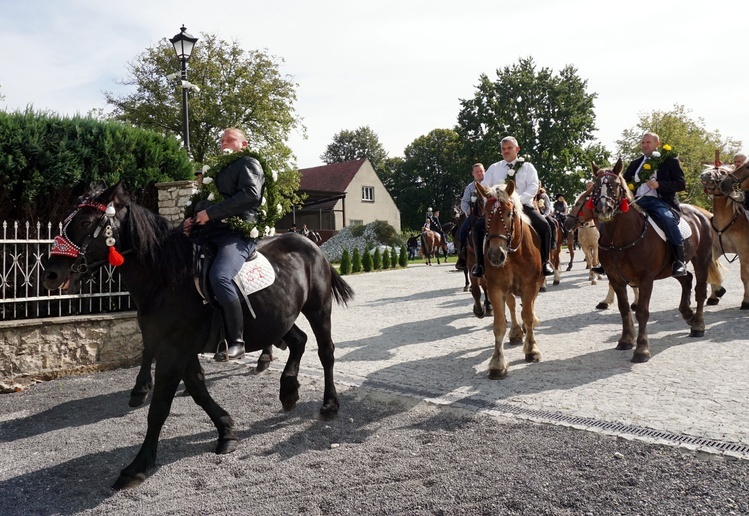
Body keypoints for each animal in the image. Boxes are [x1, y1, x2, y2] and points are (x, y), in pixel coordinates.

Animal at [40, 183, 354, 490]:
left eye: (85, 222)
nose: (50, 274)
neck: (166, 278)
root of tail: (311, 244)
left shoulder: (173, 350)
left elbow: (160, 408)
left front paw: (138, 466)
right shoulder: (178, 349)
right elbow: (198, 391)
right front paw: (226, 431)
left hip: (318, 308)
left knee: (325, 352)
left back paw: (329, 404)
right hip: (277, 317)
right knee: (299, 341)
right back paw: (288, 391)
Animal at [476, 181, 540, 378]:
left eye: (508, 213)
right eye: (486, 214)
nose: (496, 255)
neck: (513, 254)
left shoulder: (531, 285)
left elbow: (527, 315)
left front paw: (532, 349)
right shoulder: (495, 289)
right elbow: (499, 325)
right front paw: (497, 363)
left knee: (528, 307)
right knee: (512, 306)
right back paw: (516, 332)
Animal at [584, 159, 720, 360]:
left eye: (615, 185)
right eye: (595, 187)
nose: (604, 209)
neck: (620, 238)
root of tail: (702, 213)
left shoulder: (645, 279)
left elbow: (642, 312)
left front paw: (642, 350)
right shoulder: (615, 278)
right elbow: (624, 308)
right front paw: (625, 340)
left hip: (701, 259)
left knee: (700, 291)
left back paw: (698, 326)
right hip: (673, 267)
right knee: (686, 279)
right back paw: (688, 314)